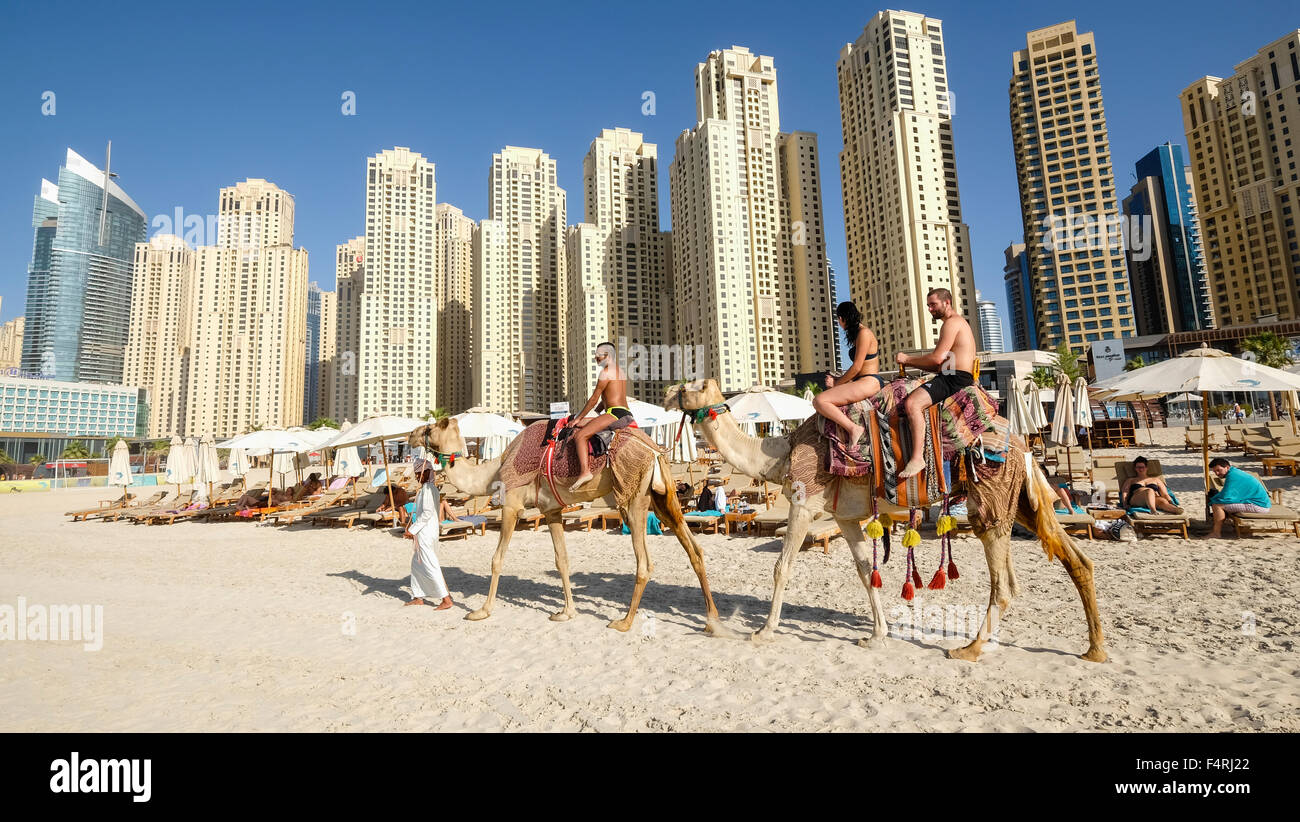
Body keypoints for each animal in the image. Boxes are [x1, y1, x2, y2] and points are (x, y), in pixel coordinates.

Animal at [408, 416, 733, 634]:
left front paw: (481, 611)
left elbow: (497, 559)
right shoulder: (552, 511)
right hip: (663, 498)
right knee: (694, 548)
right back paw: (712, 620)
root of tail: (654, 450)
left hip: (633, 497)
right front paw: (567, 612)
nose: (410, 435)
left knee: (644, 563)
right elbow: (562, 560)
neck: (495, 470)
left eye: (429, 429)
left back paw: (625, 621)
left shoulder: (512, 505)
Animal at [660, 379, 1107, 660]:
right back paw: (1095, 649)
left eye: (691, 386)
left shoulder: (804, 505)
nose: (665, 393)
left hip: (991, 496)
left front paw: (764, 631)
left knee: (1005, 583)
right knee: (1076, 560)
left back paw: (970, 649)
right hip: (1022, 499)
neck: (779, 454)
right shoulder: (844, 517)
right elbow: (863, 570)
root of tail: (1022, 445)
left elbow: (781, 567)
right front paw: (877, 635)